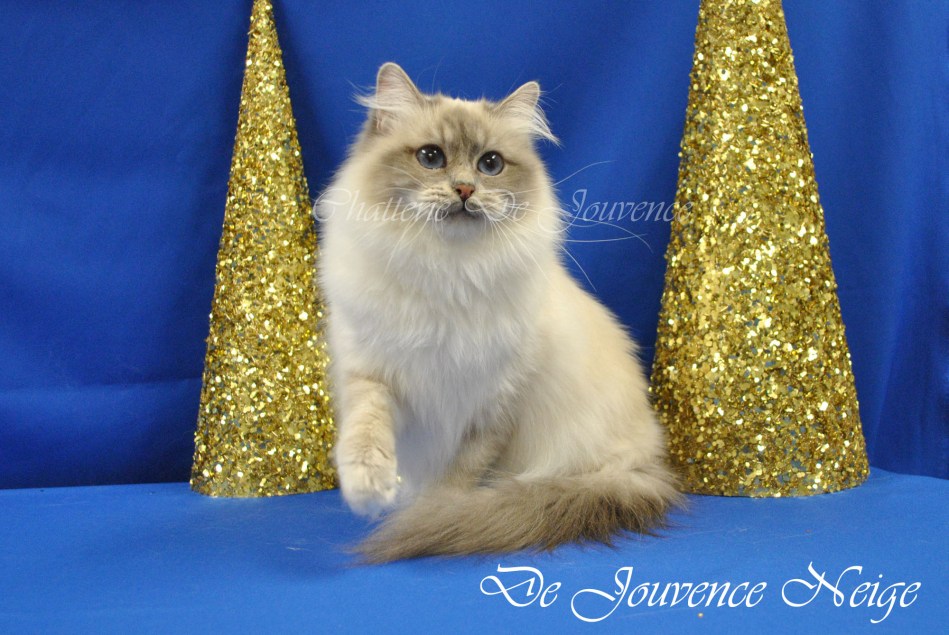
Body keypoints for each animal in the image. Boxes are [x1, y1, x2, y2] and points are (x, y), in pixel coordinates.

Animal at [316, 62, 681, 562]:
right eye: (431, 157)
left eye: (490, 164)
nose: (465, 189)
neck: (447, 272)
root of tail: (648, 462)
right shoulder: (375, 373)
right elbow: (366, 432)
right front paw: (368, 490)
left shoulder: (494, 404)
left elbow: (460, 475)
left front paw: (437, 512)